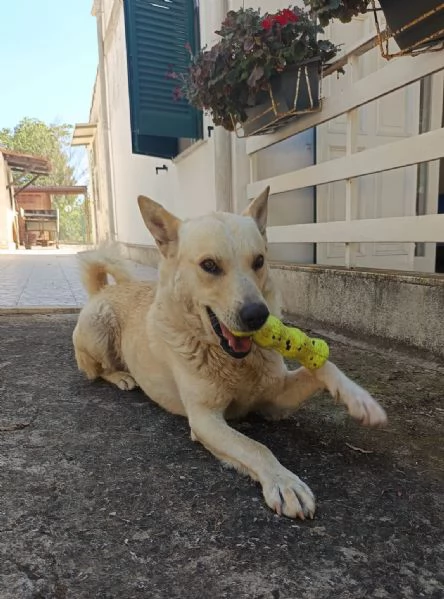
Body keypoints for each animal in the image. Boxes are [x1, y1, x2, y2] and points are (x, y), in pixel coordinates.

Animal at [73, 188, 386, 520]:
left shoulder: (275, 400)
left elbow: (323, 367)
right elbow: (256, 447)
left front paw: (360, 399)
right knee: (96, 369)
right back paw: (121, 376)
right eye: (209, 265)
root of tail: (101, 291)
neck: (234, 361)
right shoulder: (205, 420)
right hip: (99, 327)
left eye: (259, 260)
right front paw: (284, 482)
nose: (257, 315)